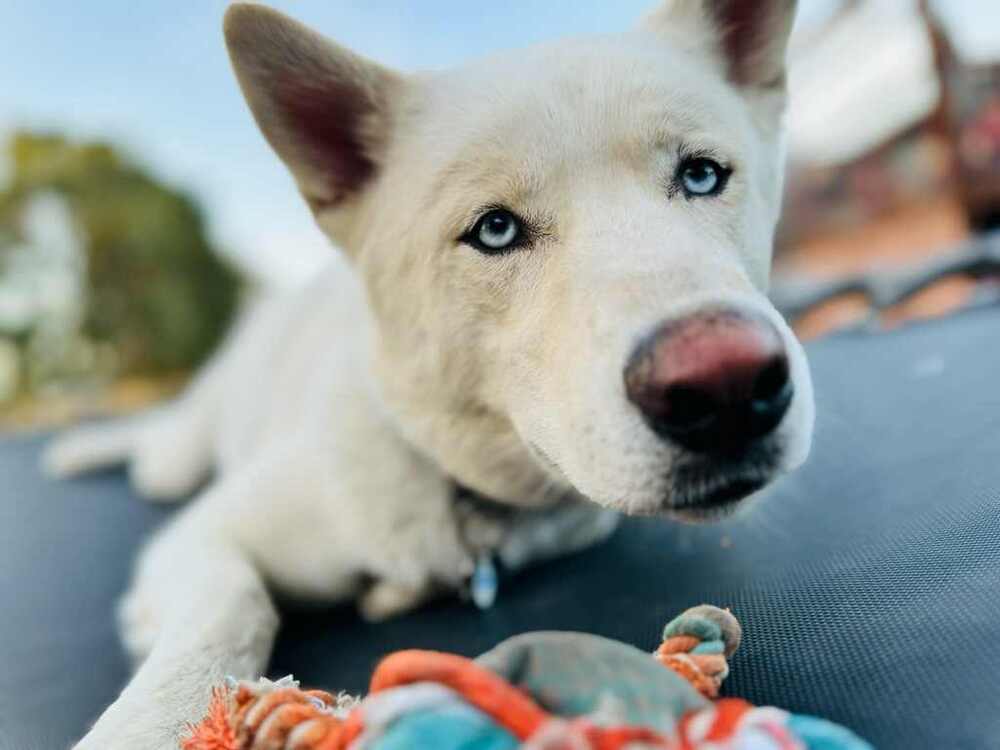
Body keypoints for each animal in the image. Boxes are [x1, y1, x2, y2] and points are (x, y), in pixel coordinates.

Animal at [45, 2, 812, 748]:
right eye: (495, 230)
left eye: (702, 175)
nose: (725, 384)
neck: (456, 486)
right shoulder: (196, 541)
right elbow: (232, 607)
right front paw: (152, 723)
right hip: (177, 458)